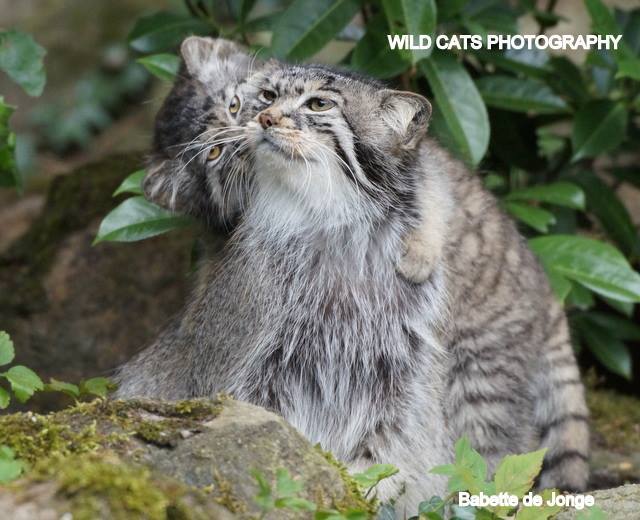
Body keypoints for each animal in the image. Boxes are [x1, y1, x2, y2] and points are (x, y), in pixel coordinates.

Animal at [116, 43, 592, 512]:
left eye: (318, 104)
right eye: (268, 97)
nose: (262, 119)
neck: (332, 225)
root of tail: (547, 292)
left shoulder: (400, 368)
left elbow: (386, 447)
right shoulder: (261, 365)